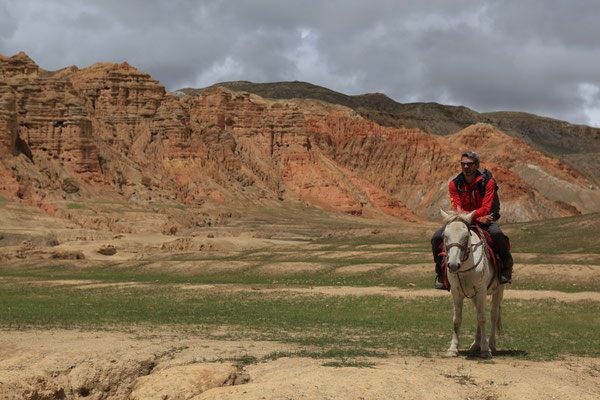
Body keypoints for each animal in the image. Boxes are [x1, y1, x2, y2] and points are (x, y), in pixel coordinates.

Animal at [440, 209, 506, 360]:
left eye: (465, 236)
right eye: (445, 235)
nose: (453, 265)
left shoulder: (481, 291)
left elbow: (482, 318)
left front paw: (486, 350)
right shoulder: (456, 292)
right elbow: (457, 320)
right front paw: (452, 349)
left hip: (498, 290)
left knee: (492, 315)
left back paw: (491, 344)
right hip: (475, 295)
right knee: (479, 313)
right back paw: (476, 344)